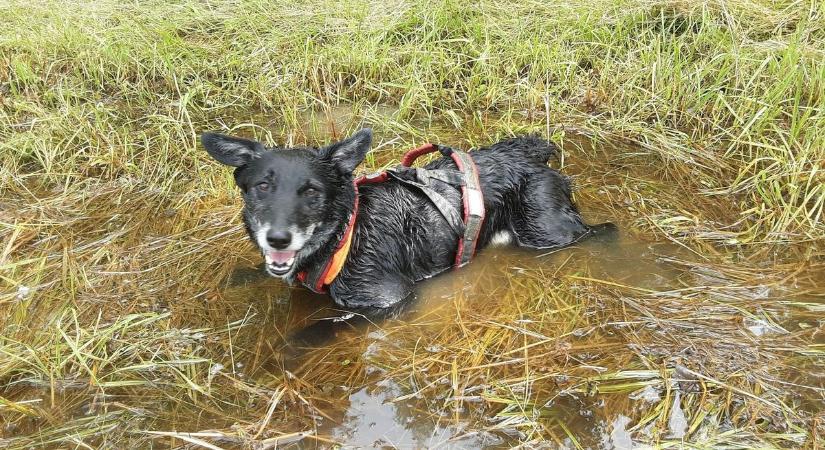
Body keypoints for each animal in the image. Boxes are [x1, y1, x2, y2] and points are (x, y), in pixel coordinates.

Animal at [200, 128, 612, 308]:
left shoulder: (387, 299)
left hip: (547, 230)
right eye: (262, 187)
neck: (345, 235)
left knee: (605, 231)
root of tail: (531, 151)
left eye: (312, 191)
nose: (278, 239)